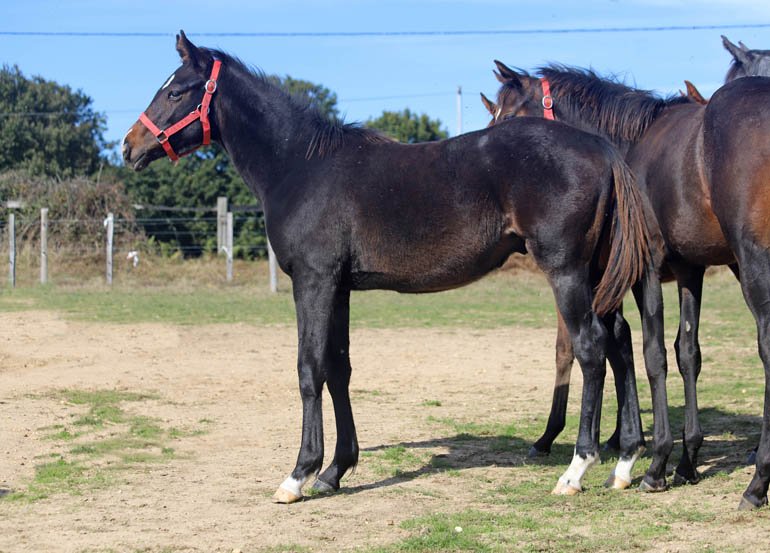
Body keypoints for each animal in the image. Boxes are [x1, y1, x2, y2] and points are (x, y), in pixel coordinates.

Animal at [123, 31, 654, 502]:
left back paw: (577, 469)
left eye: (175, 90)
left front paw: (299, 474)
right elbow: (338, 368)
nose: (129, 146)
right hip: (596, 275)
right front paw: (335, 470)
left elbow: (309, 368)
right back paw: (626, 462)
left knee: (590, 348)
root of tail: (602, 149)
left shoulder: (313, 282)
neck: (301, 165)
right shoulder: (338, 288)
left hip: (566, 271)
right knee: (620, 341)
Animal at [488, 60, 770, 509]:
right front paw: (685, 461)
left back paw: (757, 482)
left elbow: (648, 354)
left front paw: (651, 464)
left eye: (509, 117)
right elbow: (685, 353)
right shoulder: (688, 271)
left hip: (751, 261)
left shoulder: (643, 269)